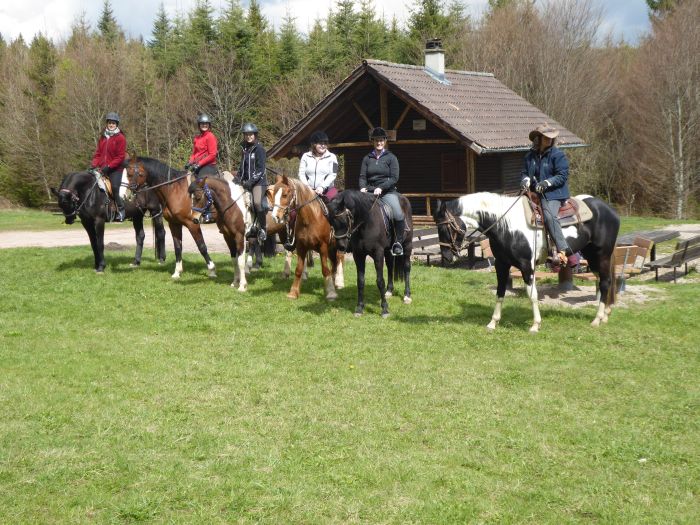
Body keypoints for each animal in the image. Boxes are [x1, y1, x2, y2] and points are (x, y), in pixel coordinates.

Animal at [326, 190, 412, 318]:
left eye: (344, 220)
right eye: (330, 222)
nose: (341, 247)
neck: (366, 224)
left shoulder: (378, 253)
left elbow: (380, 281)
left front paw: (384, 309)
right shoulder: (358, 255)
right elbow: (360, 281)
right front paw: (359, 308)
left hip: (407, 246)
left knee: (406, 268)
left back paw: (407, 295)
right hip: (388, 251)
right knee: (390, 267)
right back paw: (389, 291)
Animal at [434, 192, 620, 332]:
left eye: (445, 228)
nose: (446, 257)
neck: (506, 225)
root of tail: (609, 210)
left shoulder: (526, 266)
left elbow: (532, 294)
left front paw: (535, 325)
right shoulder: (501, 264)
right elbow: (500, 293)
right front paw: (493, 322)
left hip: (602, 255)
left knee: (605, 282)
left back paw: (597, 319)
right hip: (591, 256)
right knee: (603, 281)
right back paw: (606, 314)